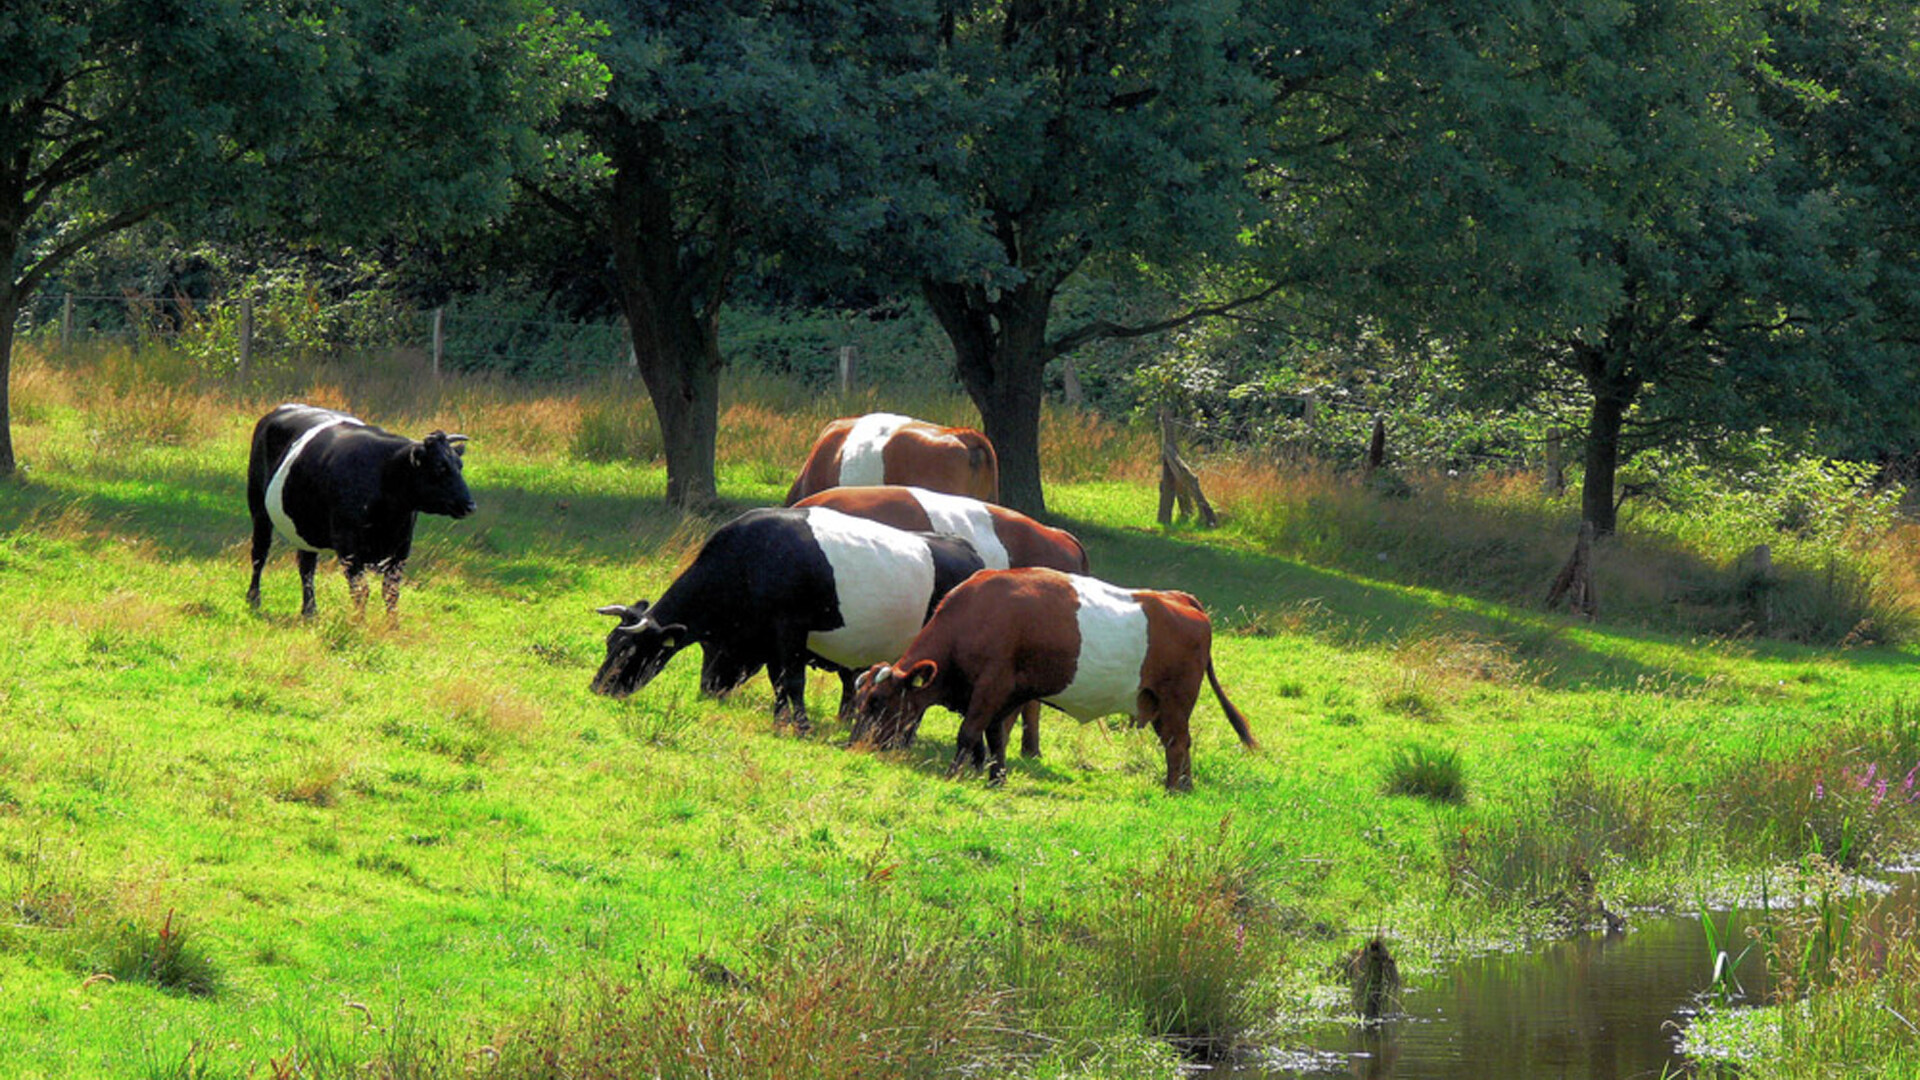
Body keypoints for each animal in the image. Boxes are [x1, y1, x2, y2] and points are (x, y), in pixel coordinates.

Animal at [247, 401, 476, 618]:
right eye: (439, 468)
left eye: (460, 466)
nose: (470, 505)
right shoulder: (348, 544)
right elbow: (360, 590)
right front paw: (359, 624)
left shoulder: (402, 545)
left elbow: (391, 591)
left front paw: (392, 627)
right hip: (258, 508)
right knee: (260, 553)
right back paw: (254, 599)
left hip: (305, 524)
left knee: (306, 567)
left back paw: (310, 612)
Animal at [591, 503, 990, 722]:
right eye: (609, 644)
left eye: (627, 651)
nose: (597, 687)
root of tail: (969, 551)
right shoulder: (762, 643)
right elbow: (778, 681)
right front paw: (782, 717)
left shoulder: (790, 629)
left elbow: (794, 680)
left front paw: (799, 724)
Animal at [848, 564, 1251, 791]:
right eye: (859, 699)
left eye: (878, 702)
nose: (854, 745)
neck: (974, 617)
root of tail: (1179, 598)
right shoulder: (1007, 694)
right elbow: (995, 738)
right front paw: (996, 778)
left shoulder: (990, 687)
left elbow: (969, 733)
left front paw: (953, 776)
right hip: (1157, 704)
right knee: (1178, 743)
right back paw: (1183, 786)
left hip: (1175, 701)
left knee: (1177, 744)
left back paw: (1173, 789)